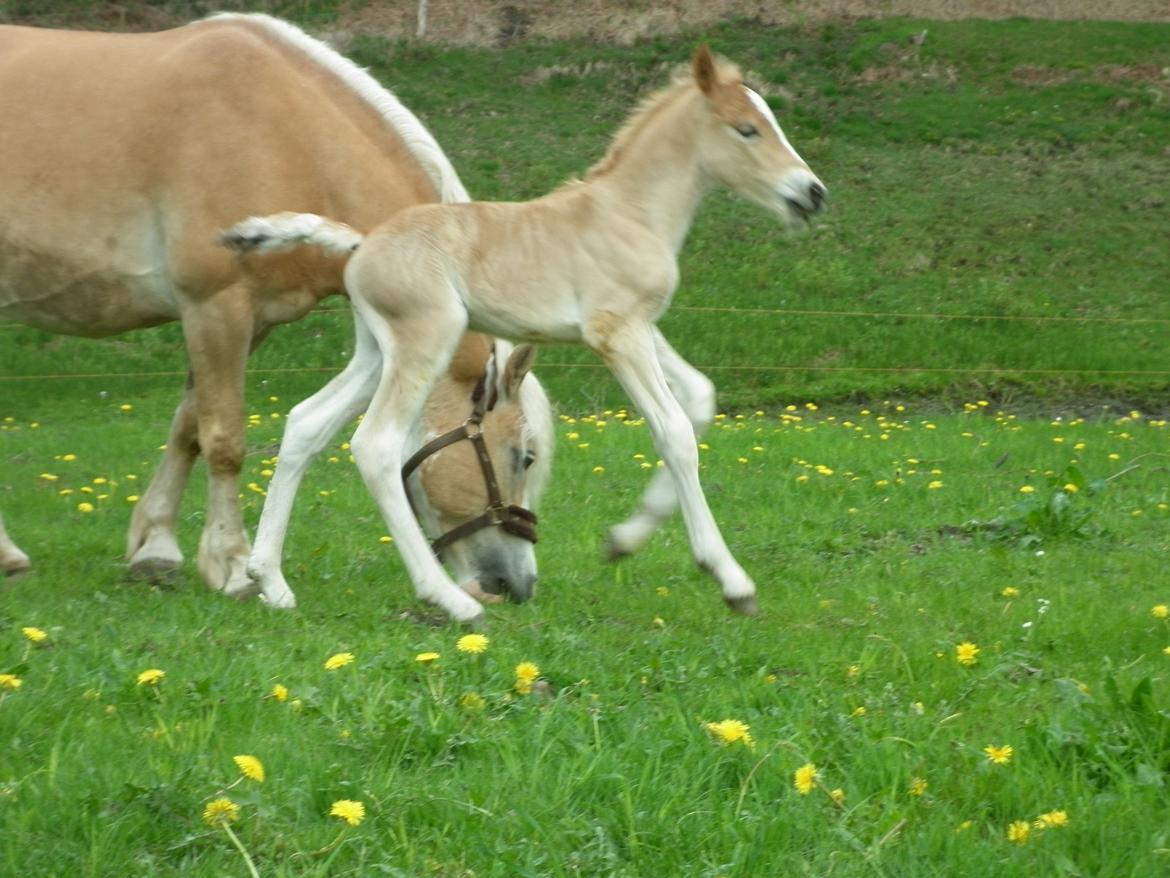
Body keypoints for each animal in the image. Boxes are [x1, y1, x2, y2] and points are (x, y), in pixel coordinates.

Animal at [0, 13, 554, 604]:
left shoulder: (249, 322)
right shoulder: (216, 307)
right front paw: (233, 563)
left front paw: (156, 546)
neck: (289, 139)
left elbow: (188, 425)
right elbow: (224, 441)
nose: (516, 585)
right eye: (524, 455)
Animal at [221, 47, 823, 627]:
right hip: (426, 339)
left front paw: (623, 541)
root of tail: (362, 242)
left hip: (377, 352)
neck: (629, 214)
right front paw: (730, 581)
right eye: (747, 129)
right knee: (376, 445)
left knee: (306, 422)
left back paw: (272, 582)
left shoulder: (642, 326)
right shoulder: (617, 333)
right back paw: (452, 602)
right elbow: (673, 431)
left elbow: (699, 398)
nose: (812, 193)